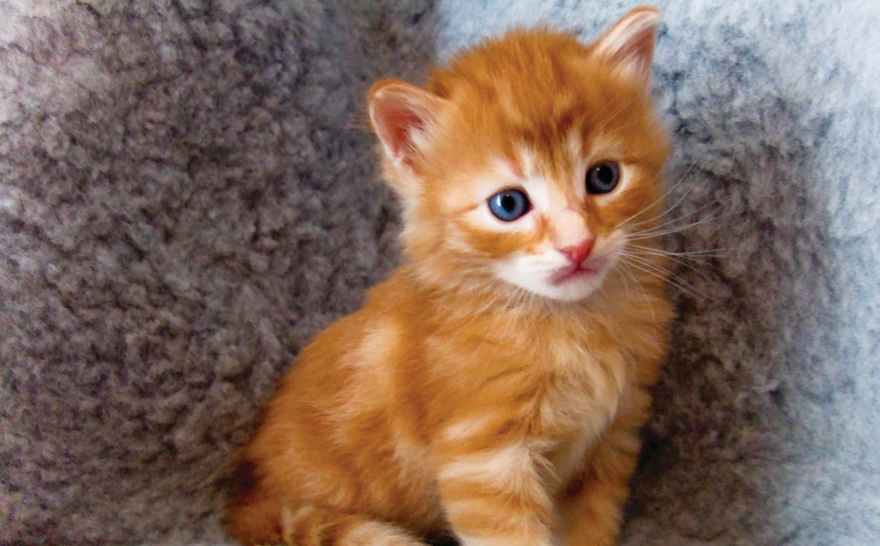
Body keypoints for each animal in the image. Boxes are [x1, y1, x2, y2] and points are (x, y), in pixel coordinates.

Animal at [227, 7, 672, 544]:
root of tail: (245, 497)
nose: (577, 245)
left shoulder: (612, 438)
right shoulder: (482, 460)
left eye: (604, 178)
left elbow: (591, 526)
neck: (569, 324)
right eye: (509, 204)